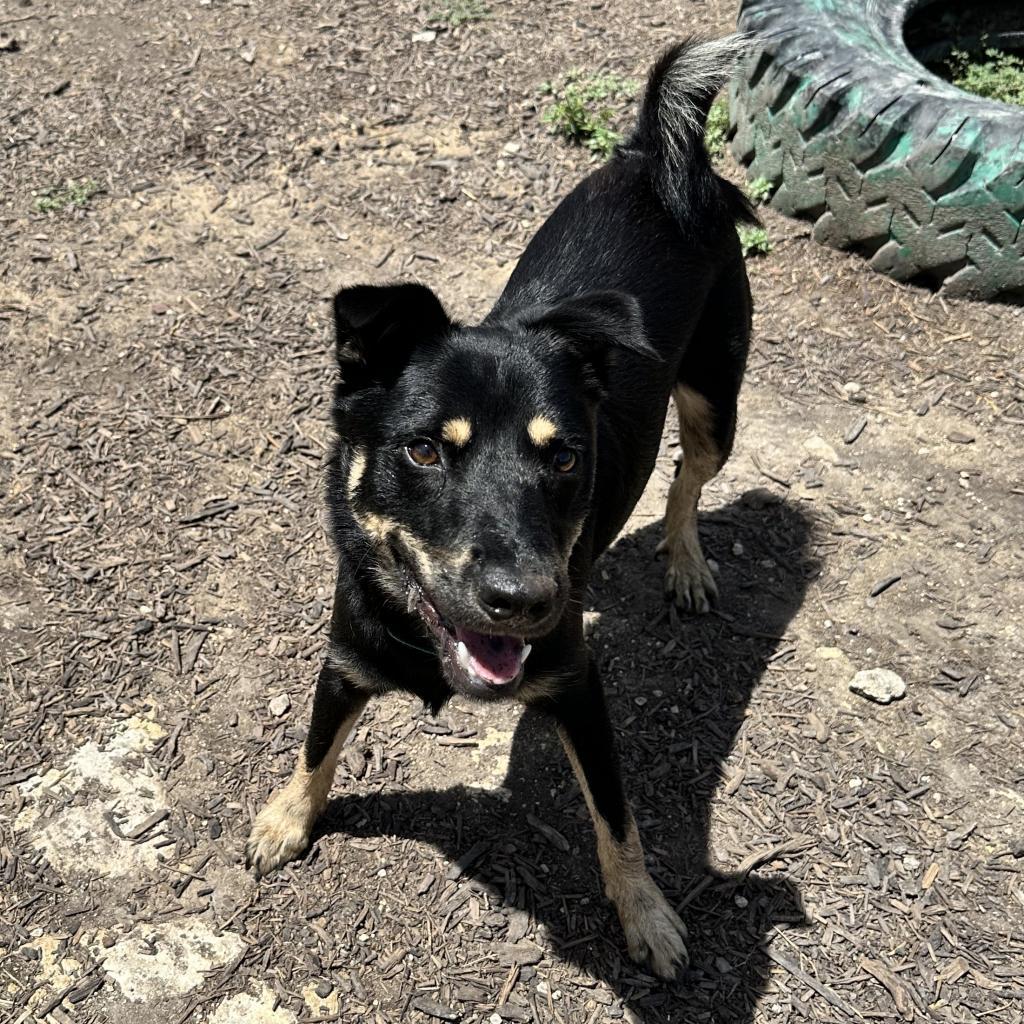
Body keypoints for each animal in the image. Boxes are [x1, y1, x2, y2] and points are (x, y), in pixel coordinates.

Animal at [246, 37, 757, 983]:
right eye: (423, 451)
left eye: (563, 457)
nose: (526, 601)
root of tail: (656, 158)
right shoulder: (346, 658)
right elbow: (314, 747)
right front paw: (286, 818)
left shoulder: (578, 684)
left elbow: (618, 818)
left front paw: (645, 913)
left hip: (717, 395)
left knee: (687, 479)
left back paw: (686, 561)